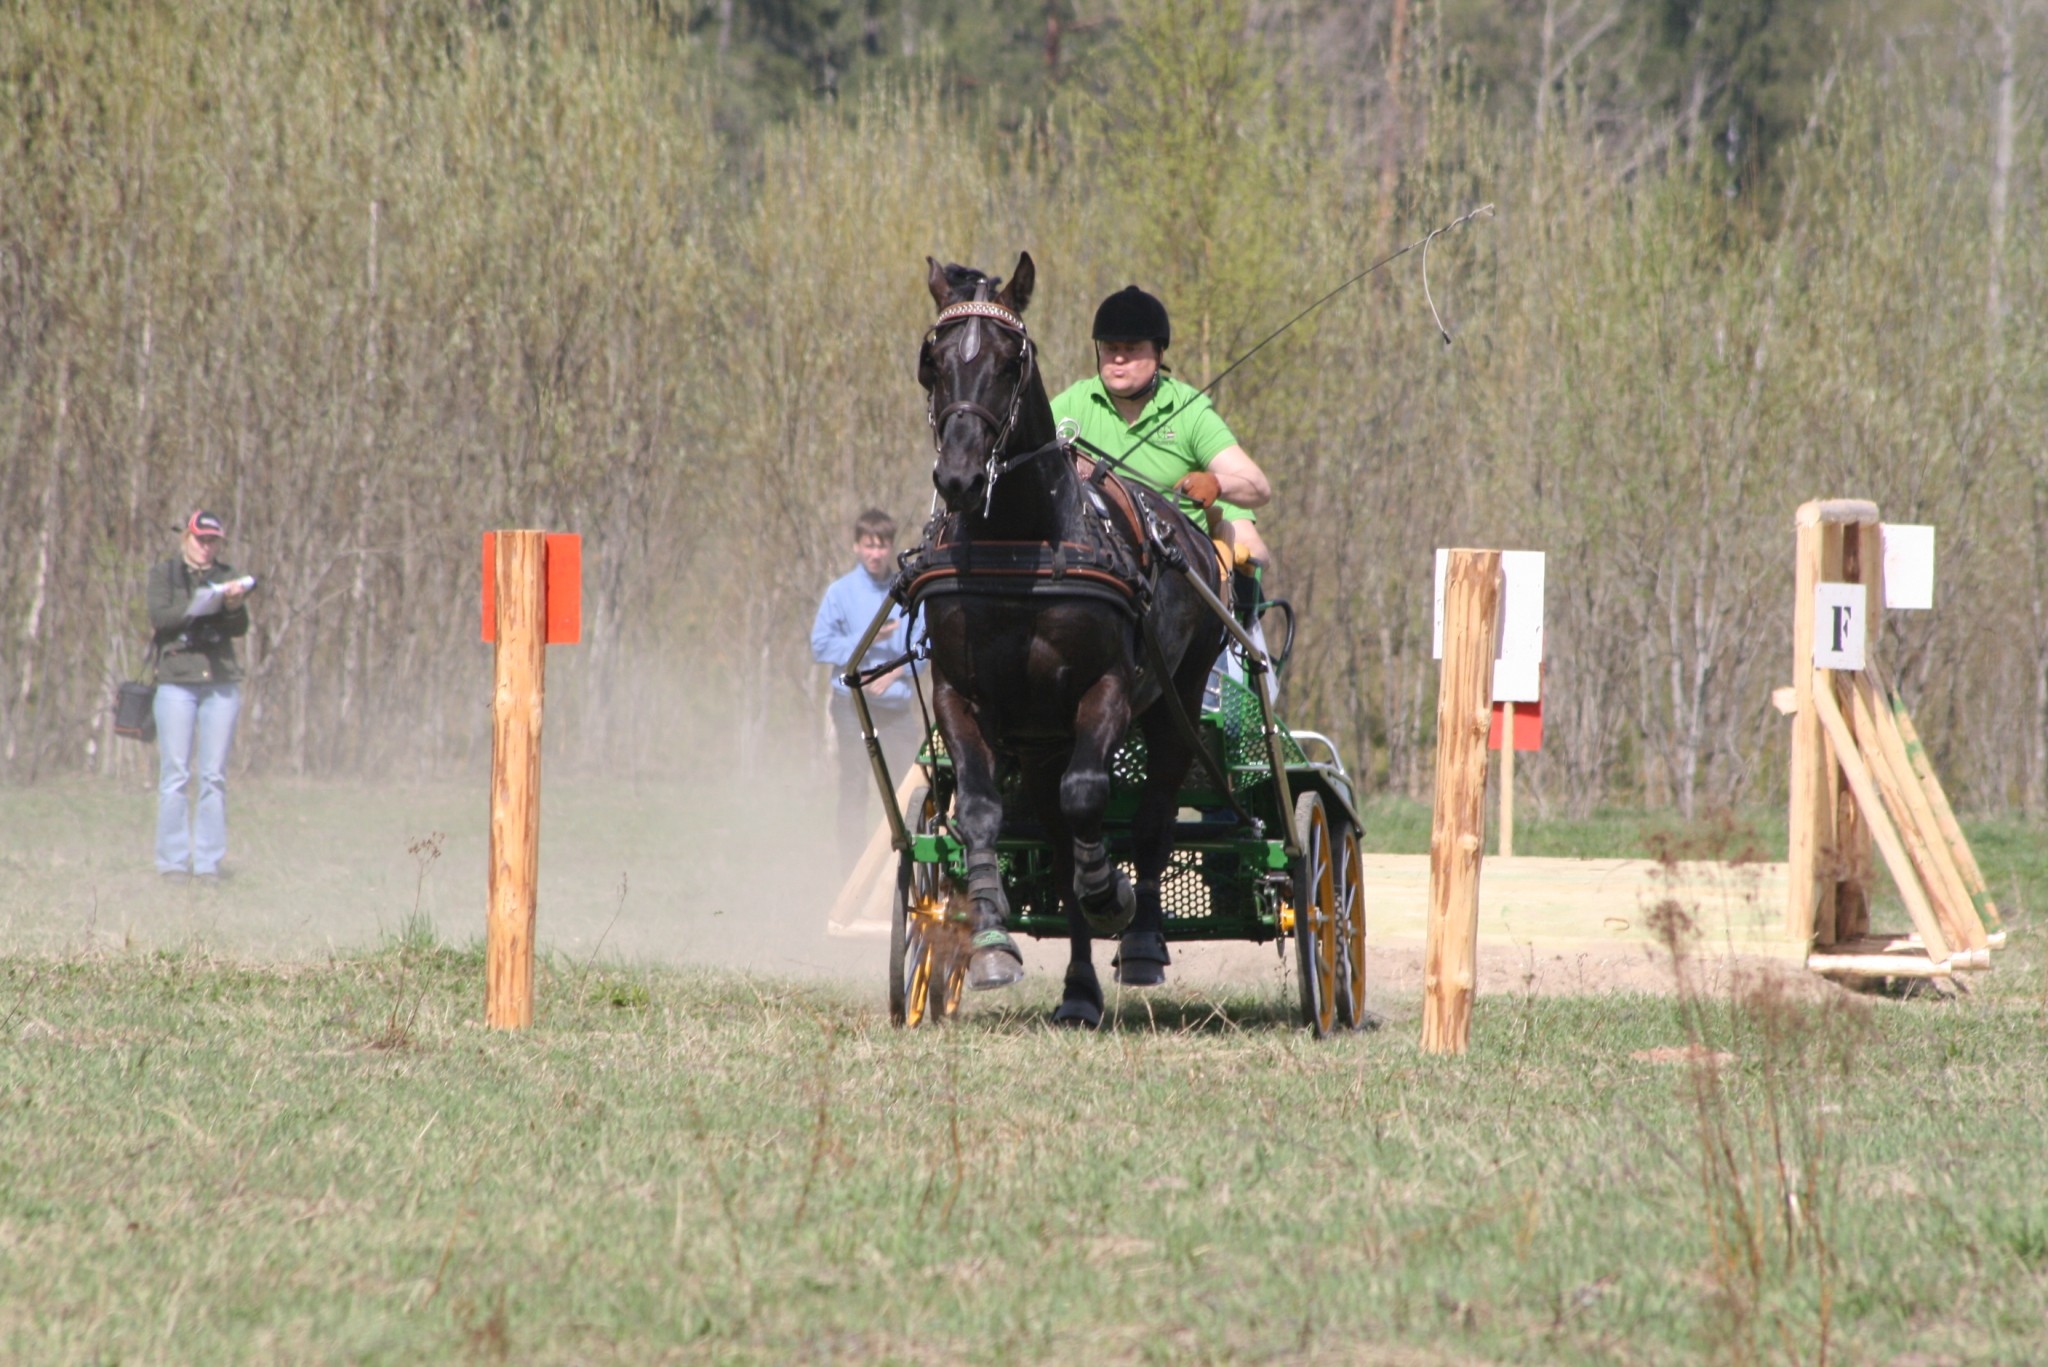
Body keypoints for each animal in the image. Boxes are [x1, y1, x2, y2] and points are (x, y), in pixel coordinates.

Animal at [917, 254, 1228, 1024]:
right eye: (933, 362)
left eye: (1010, 361)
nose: (959, 477)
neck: (1019, 546)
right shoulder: (962, 695)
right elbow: (980, 812)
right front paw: (992, 941)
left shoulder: (1105, 687)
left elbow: (1091, 796)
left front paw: (1109, 891)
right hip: (1038, 739)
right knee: (1057, 842)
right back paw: (1081, 989)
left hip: (1176, 700)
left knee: (1150, 820)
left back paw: (1141, 939)